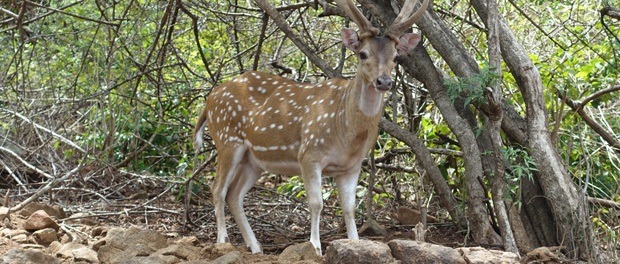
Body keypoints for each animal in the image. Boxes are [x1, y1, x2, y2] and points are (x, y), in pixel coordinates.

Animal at [194, 0, 426, 255]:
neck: (346, 132)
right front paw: (314, 246)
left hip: (253, 160)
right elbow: (316, 203)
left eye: (396, 57)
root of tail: (210, 98)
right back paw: (222, 241)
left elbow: (349, 208)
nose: (383, 82)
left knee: (234, 195)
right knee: (217, 189)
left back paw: (255, 247)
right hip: (227, 139)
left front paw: (355, 244)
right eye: (363, 53)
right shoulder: (309, 153)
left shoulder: (353, 166)